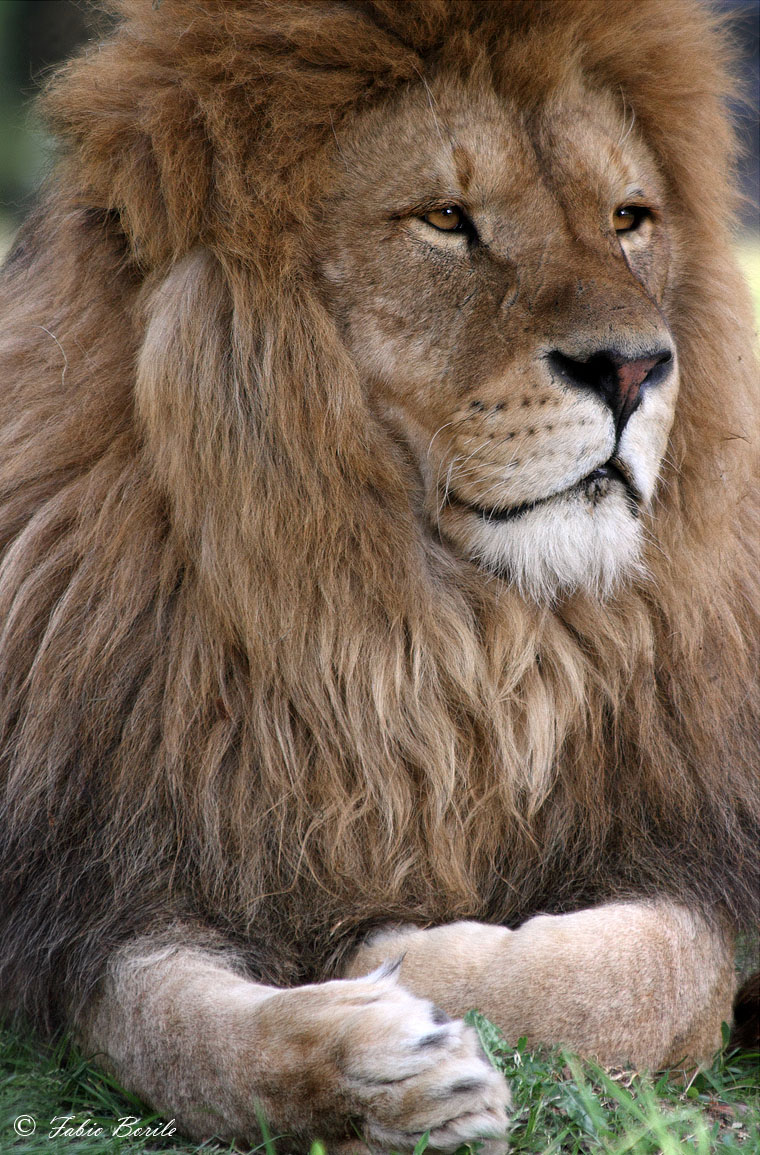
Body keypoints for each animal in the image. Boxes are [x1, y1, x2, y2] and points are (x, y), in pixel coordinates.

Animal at [0, 0, 758, 1150]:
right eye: (446, 219)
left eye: (629, 218)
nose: (633, 368)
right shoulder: (102, 885)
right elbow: (180, 1037)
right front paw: (381, 1069)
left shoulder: (693, 839)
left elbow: (649, 974)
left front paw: (389, 949)